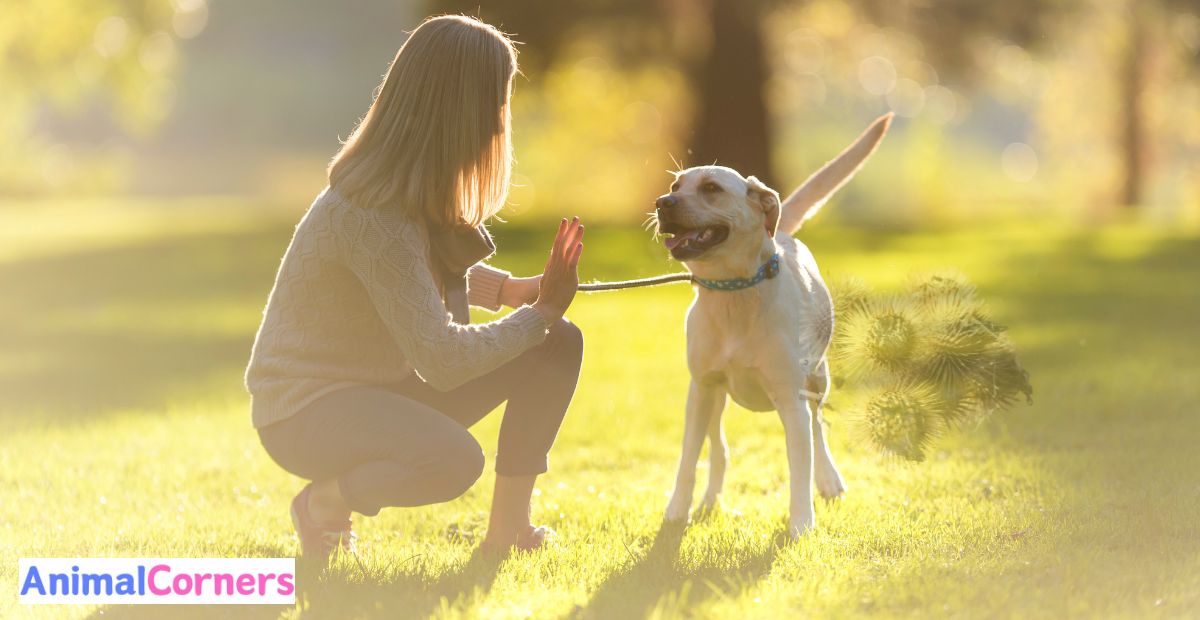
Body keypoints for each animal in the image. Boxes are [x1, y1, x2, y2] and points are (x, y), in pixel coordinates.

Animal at [657, 112, 892, 537]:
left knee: (818, 430)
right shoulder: (701, 389)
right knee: (719, 449)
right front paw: (676, 513)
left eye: (712, 188)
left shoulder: (790, 398)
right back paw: (709, 501)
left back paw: (829, 481)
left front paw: (800, 525)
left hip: (817, 379)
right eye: (674, 186)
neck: (734, 292)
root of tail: (781, 230)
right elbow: (688, 459)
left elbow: (800, 465)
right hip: (713, 399)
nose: (661, 203)